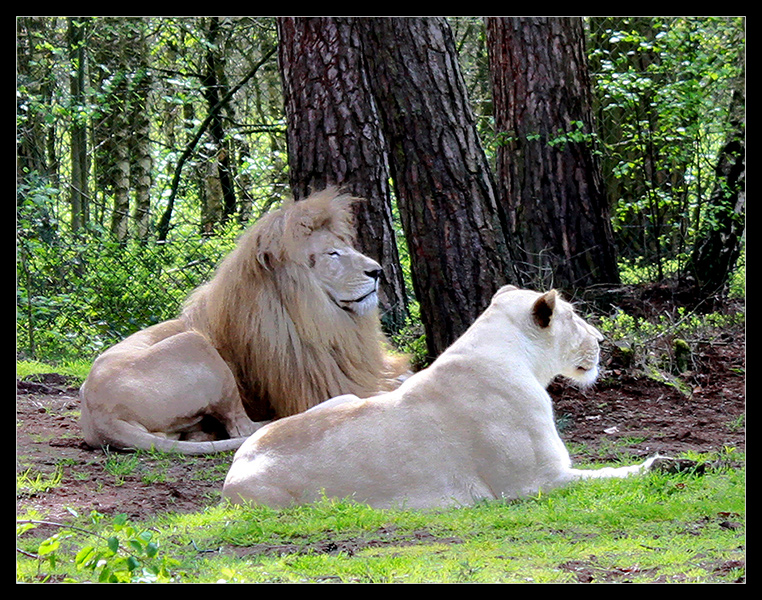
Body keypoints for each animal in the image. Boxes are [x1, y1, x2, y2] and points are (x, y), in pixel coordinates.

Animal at [79, 191, 406, 454]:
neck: (327, 320)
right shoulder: (317, 385)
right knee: (243, 427)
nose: (377, 271)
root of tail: (102, 416)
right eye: (333, 254)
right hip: (197, 346)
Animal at [223, 284, 664, 506]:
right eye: (572, 316)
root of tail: (233, 468)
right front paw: (658, 464)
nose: (601, 339)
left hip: (344, 399)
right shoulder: (531, 484)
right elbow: (608, 474)